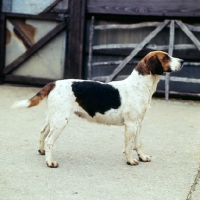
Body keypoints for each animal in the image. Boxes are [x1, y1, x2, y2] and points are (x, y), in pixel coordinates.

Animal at [12, 50, 184, 167]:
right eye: (166, 57)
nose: (182, 61)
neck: (140, 85)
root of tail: (53, 83)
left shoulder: (139, 124)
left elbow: (138, 143)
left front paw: (142, 157)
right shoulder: (130, 125)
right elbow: (128, 146)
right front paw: (130, 160)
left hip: (53, 118)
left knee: (42, 133)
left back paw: (42, 152)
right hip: (60, 121)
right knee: (49, 141)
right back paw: (50, 162)